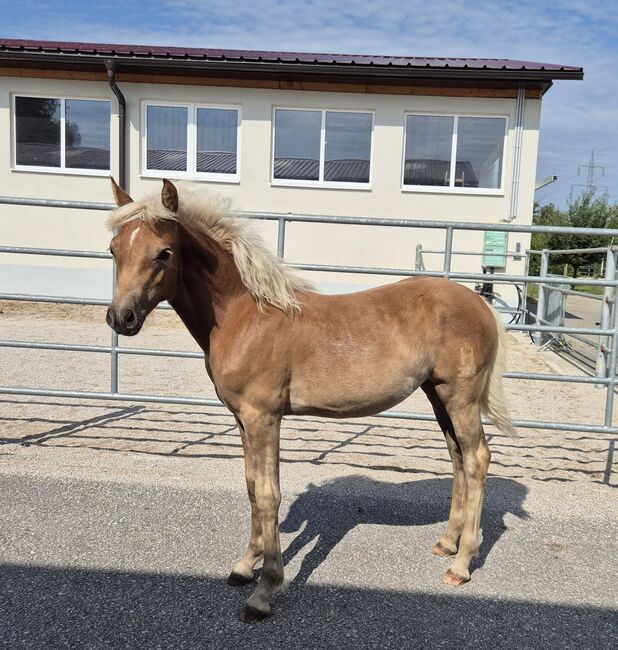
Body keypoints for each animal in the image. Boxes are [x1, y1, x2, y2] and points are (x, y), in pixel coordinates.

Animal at [107, 177, 516, 624]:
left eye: (164, 252)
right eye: (114, 248)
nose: (121, 318)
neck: (244, 314)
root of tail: (479, 303)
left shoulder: (264, 416)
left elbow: (269, 493)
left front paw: (264, 592)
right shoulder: (242, 420)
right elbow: (252, 487)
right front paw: (244, 567)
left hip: (460, 397)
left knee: (477, 458)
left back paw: (462, 563)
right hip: (438, 395)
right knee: (458, 457)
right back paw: (447, 543)